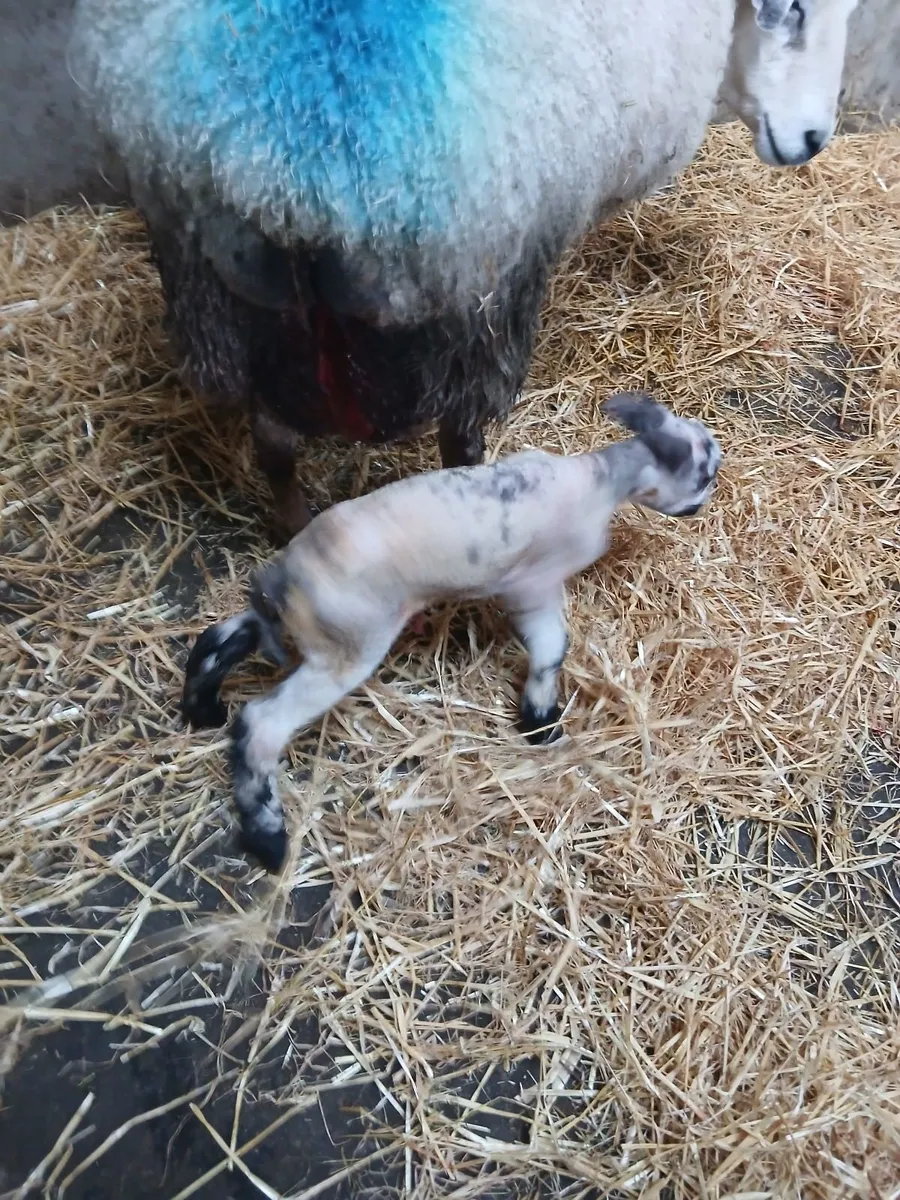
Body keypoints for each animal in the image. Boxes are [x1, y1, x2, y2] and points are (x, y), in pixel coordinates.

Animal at [66, 0, 855, 539]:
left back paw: (292, 526)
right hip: (470, 293)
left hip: (226, 295)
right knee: (457, 442)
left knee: (276, 441)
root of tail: (301, 161)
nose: (814, 138)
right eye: (795, 9)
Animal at [181, 393, 723, 872]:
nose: (701, 505)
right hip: (347, 647)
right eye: (704, 474)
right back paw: (268, 838)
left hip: (302, 627)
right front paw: (541, 721)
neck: (599, 479)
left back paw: (202, 709)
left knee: (219, 639)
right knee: (261, 724)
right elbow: (552, 647)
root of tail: (285, 573)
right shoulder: (534, 584)